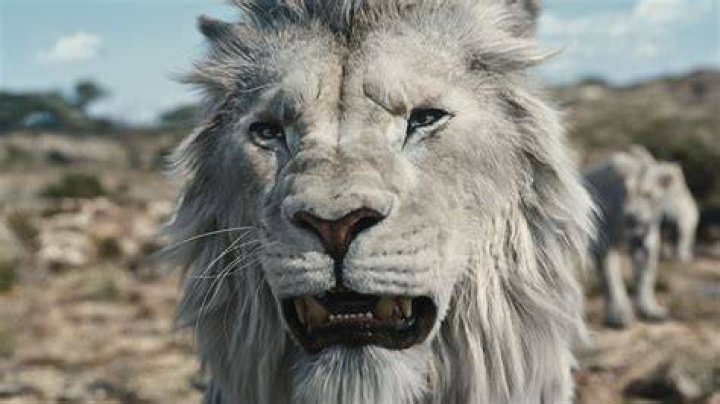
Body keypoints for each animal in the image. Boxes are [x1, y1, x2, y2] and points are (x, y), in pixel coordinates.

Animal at [584, 145, 697, 328]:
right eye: (626, 192)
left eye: (647, 194)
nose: (631, 216)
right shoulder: (603, 242)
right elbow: (611, 277)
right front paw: (619, 318)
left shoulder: (646, 239)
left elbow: (645, 275)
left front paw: (651, 312)